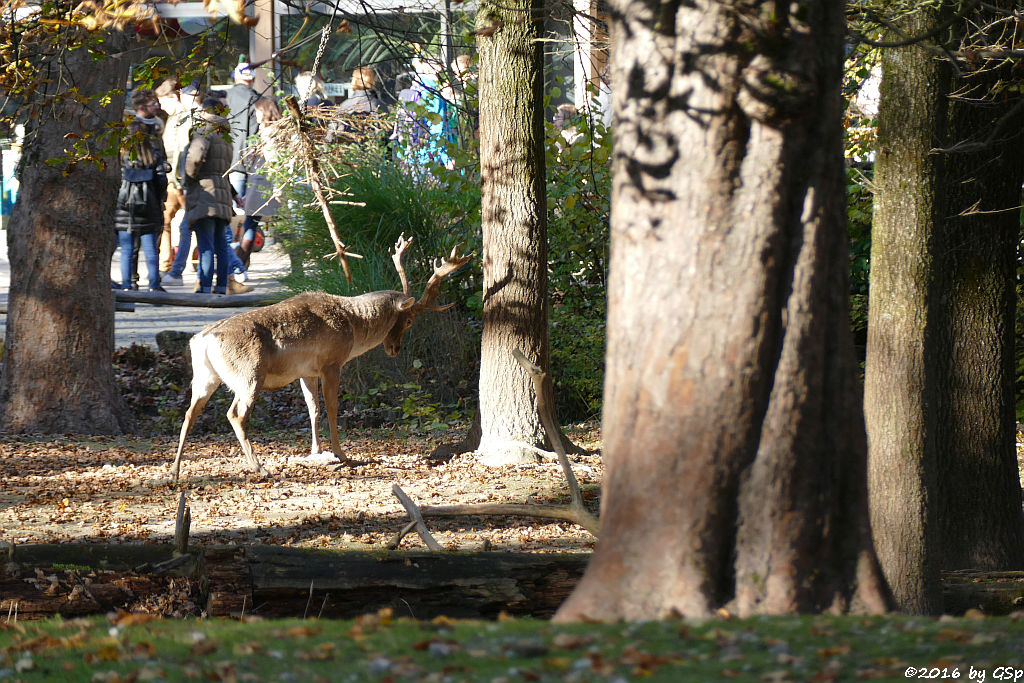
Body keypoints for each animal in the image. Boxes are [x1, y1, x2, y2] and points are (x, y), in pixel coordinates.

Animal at [169, 237, 468, 483]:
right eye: (408, 321)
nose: (394, 349)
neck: (353, 324)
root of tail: (203, 340)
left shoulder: (307, 371)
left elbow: (313, 408)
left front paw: (316, 451)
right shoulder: (331, 363)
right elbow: (333, 409)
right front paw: (341, 453)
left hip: (205, 377)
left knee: (189, 413)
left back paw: (175, 470)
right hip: (249, 374)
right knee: (235, 414)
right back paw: (261, 468)